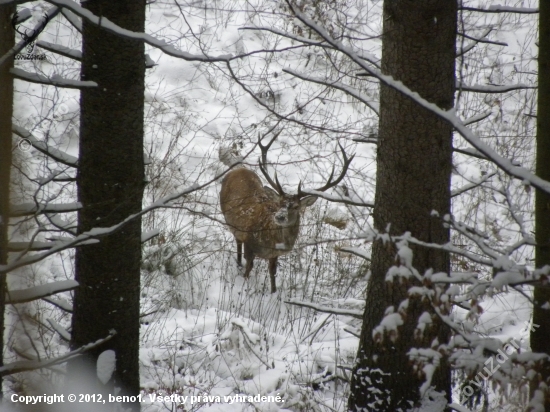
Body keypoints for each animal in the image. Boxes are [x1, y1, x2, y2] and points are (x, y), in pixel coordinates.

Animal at [220, 132, 354, 292]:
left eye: (296, 206)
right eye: (279, 203)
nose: (280, 216)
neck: (271, 242)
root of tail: (237, 169)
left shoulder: (274, 255)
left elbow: (272, 272)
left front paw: (273, 292)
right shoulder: (249, 242)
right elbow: (249, 267)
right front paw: (244, 284)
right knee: (237, 240)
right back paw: (239, 264)